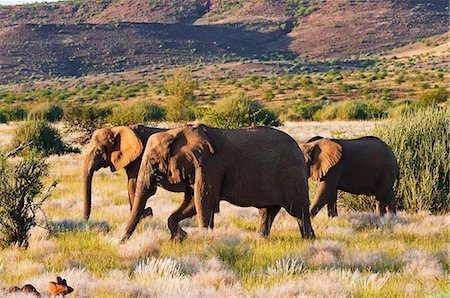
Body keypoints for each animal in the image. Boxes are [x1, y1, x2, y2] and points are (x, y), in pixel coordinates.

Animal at [121, 123, 314, 242]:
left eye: (153, 161)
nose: (120, 243)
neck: (179, 131)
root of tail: (299, 147)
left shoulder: (210, 164)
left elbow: (202, 200)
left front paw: (204, 240)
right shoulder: (196, 166)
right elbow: (191, 202)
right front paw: (181, 237)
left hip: (292, 175)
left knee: (299, 211)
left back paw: (308, 241)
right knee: (268, 211)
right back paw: (261, 241)